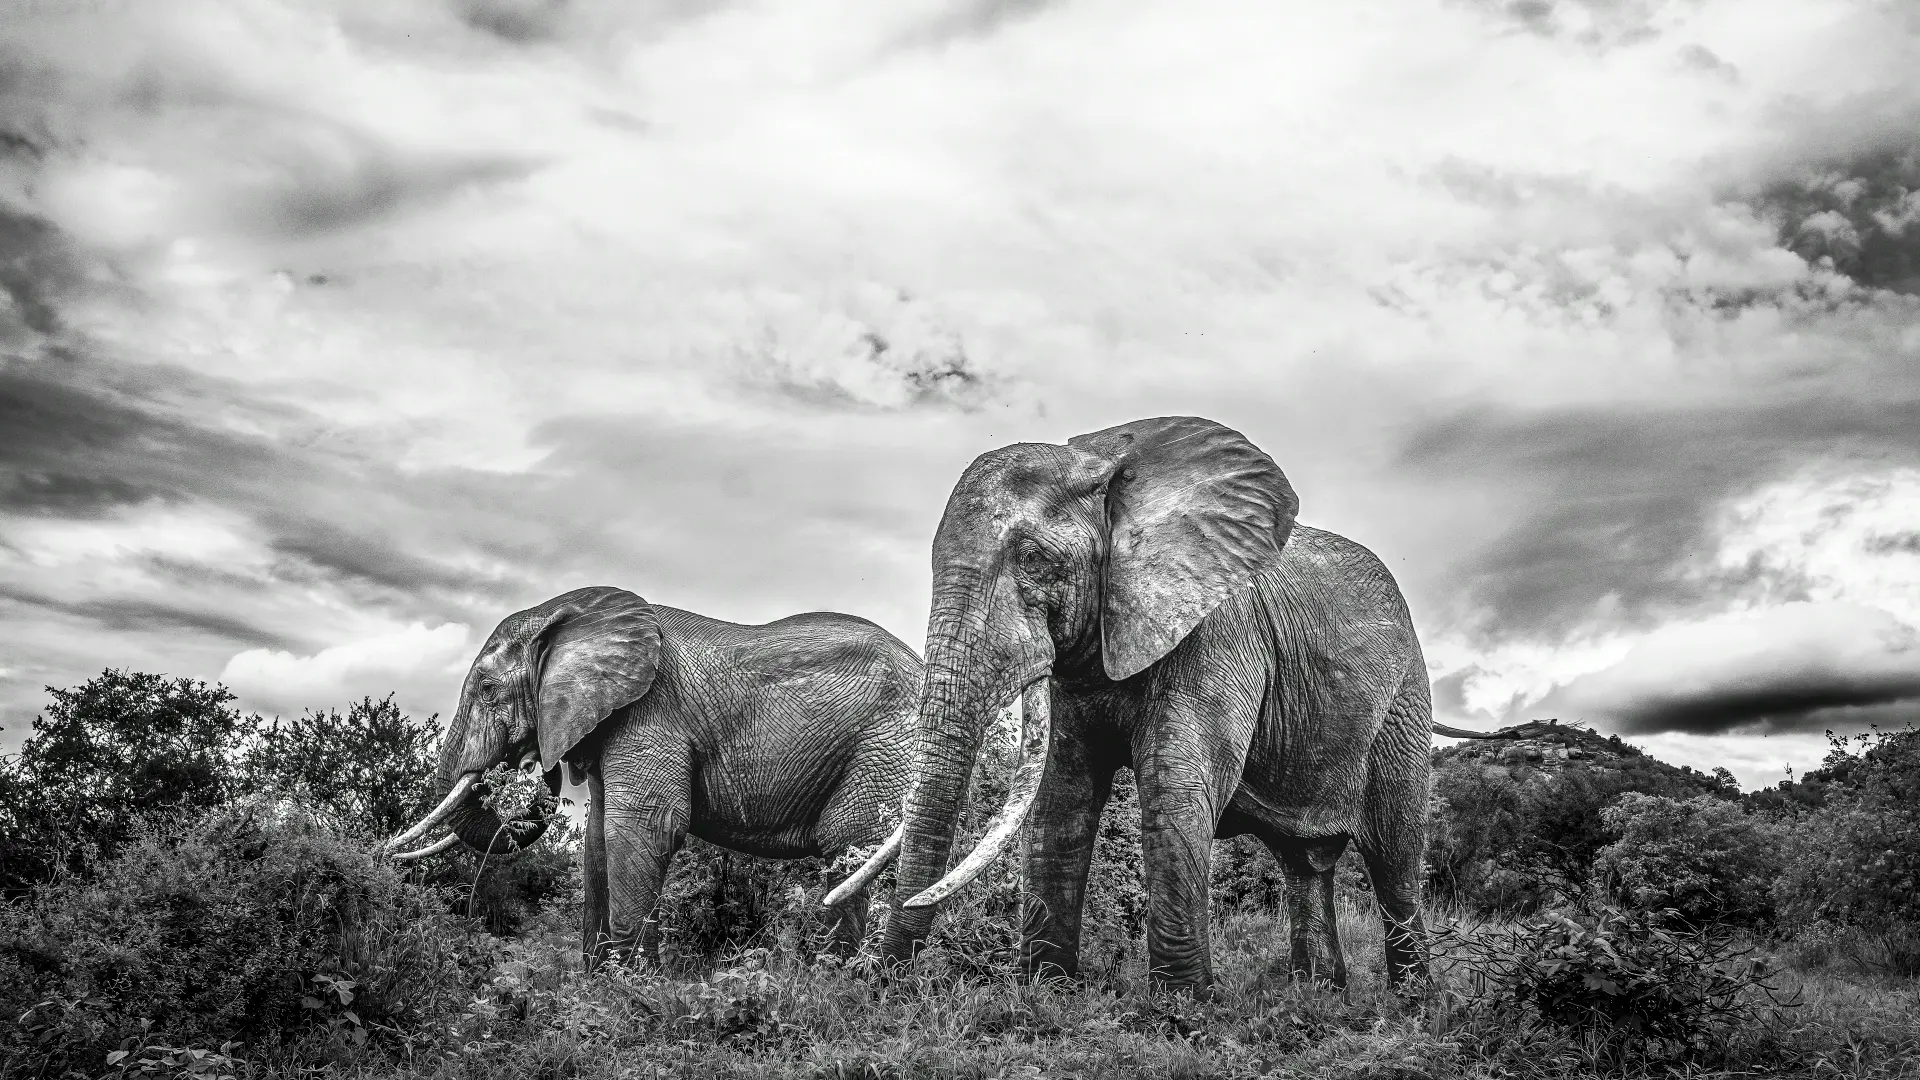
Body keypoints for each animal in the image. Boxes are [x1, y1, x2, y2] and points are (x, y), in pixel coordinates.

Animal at [385, 586, 921, 968]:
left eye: (486, 688)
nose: (537, 767)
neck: (568, 616)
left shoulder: (650, 711)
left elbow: (643, 827)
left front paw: (633, 989)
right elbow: (598, 838)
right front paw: (599, 985)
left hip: (886, 747)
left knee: (851, 845)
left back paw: (839, 981)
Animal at [830, 415, 1500, 996]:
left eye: (1036, 560)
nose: (875, 981)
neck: (1106, 466)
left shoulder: (1217, 630)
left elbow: (1173, 786)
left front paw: (1181, 1013)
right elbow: (1061, 799)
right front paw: (1044, 993)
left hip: (1404, 701)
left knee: (1394, 855)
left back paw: (1412, 1003)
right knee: (1304, 863)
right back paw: (1318, 995)